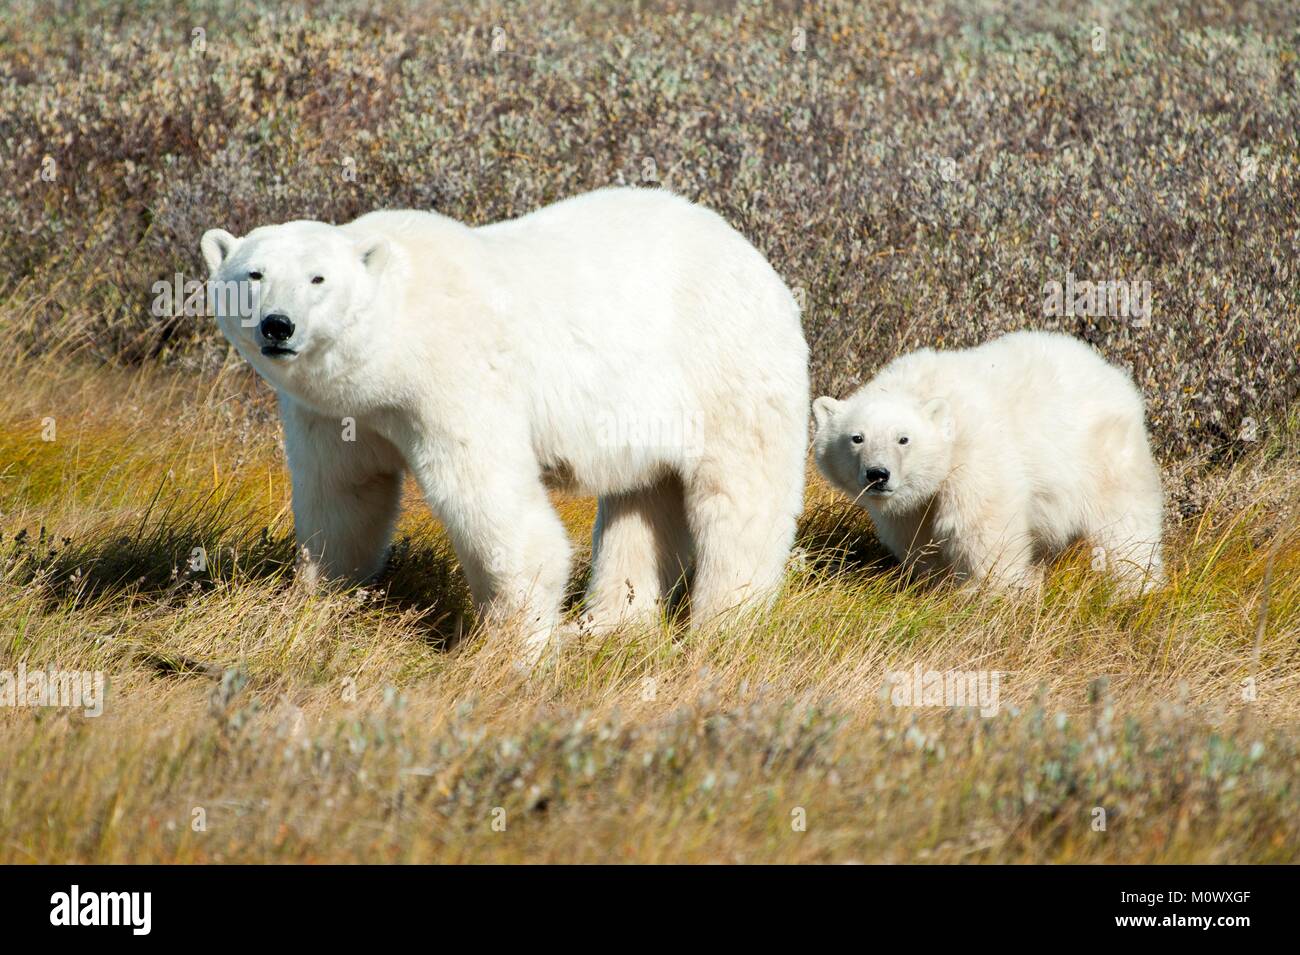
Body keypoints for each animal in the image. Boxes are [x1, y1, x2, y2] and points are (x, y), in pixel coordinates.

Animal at [201, 187, 806, 665]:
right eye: (253, 274)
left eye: (318, 278)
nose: (278, 326)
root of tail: (758, 261)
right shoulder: (336, 413)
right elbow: (343, 496)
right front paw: (315, 602)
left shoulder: (454, 381)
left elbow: (492, 504)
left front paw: (506, 647)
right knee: (642, 500)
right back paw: (604, 625)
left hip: (723, 369)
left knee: (739, 503)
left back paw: (722, 624)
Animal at [811, 332, 1170, 595]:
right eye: (857, 438)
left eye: (903, 438)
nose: (878, 475)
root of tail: (1111, 372)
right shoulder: (914, 506)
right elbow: (920, 539)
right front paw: (936, 587)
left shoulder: (975, 453)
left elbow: (982, 529)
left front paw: (989, 594)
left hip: (1104, 454)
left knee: (1126, 525)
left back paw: (1136, 586)